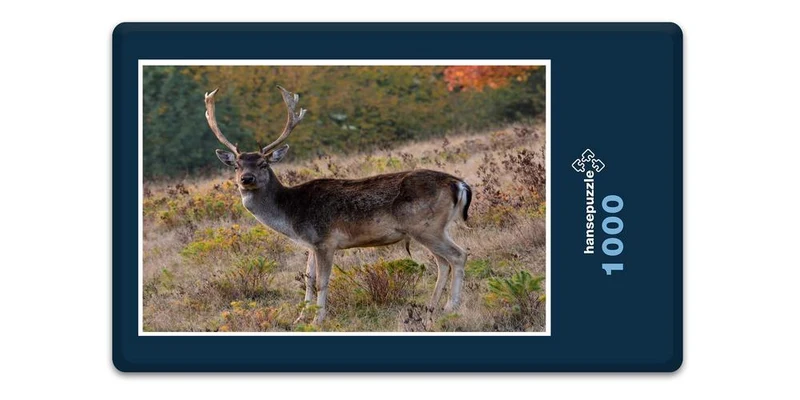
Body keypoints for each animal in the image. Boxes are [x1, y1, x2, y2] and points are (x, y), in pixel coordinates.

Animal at [205, 86, 472, 326]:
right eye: (236, 165)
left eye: (263, 164)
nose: (246, 179)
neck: (291, 215)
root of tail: (458, 183)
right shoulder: (311, 244)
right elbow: (308, 279)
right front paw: (300, 317)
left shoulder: (325, 240)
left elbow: (322, 281)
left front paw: (318, 319)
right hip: (433, 228)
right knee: (443, 262)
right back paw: (431, 309)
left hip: (426, 226)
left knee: (458, 255)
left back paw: (451, 307)